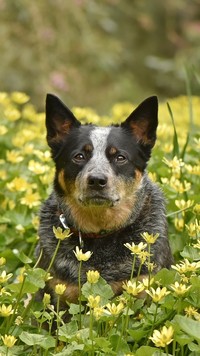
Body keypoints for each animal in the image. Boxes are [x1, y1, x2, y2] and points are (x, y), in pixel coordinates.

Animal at [37, 94, 173, 312]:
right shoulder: (58, 297)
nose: (96, 180)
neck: (101, 232)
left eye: (120, 157)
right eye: (79, 156)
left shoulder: (143, 289)